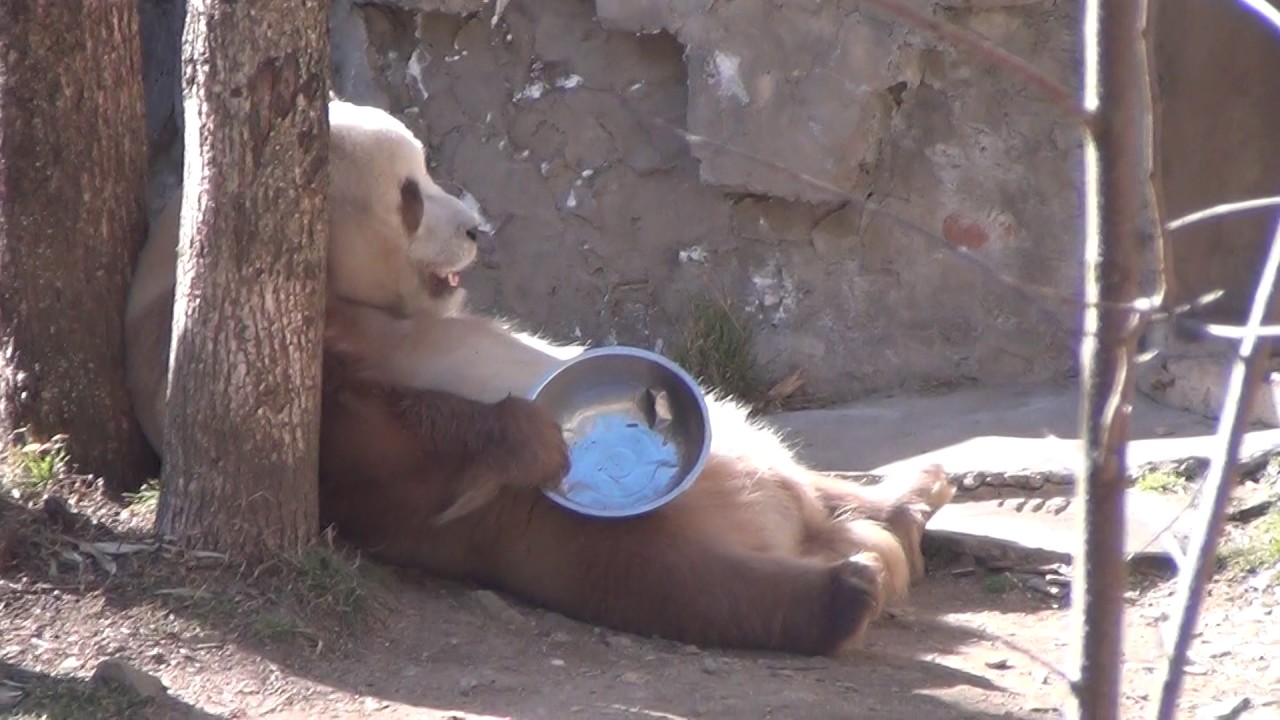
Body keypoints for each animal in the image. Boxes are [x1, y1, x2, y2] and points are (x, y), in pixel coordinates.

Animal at [125, 98, 956, 656]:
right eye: (409, 195)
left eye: (428, 169)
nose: (477, 229)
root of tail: (805, 534)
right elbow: (364, 445)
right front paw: (526, 435)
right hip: (568, 532)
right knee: (676, 580)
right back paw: (850, 588)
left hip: (744, 457)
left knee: (811, 479)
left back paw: (908, 499)